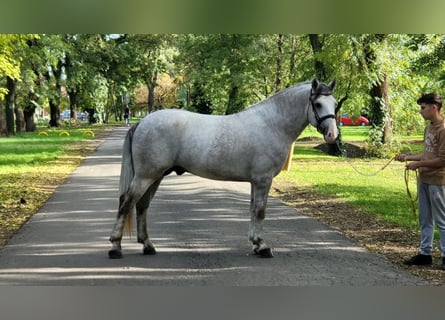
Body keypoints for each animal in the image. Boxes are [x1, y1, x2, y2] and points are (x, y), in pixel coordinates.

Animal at [108, 79, 336, 258]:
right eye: (317, 104)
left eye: (334, 104)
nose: (332, 135)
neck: (271, 124)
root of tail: (142, 122)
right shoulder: (263, 180)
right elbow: (260, 211)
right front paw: (263, 247)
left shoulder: (255, 181)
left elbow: (253, 210)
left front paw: (255, 243)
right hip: (146, 176)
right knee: (126, 203)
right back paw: (115, 247)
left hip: (155, 176)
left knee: (141, 206)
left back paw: (148, 245)